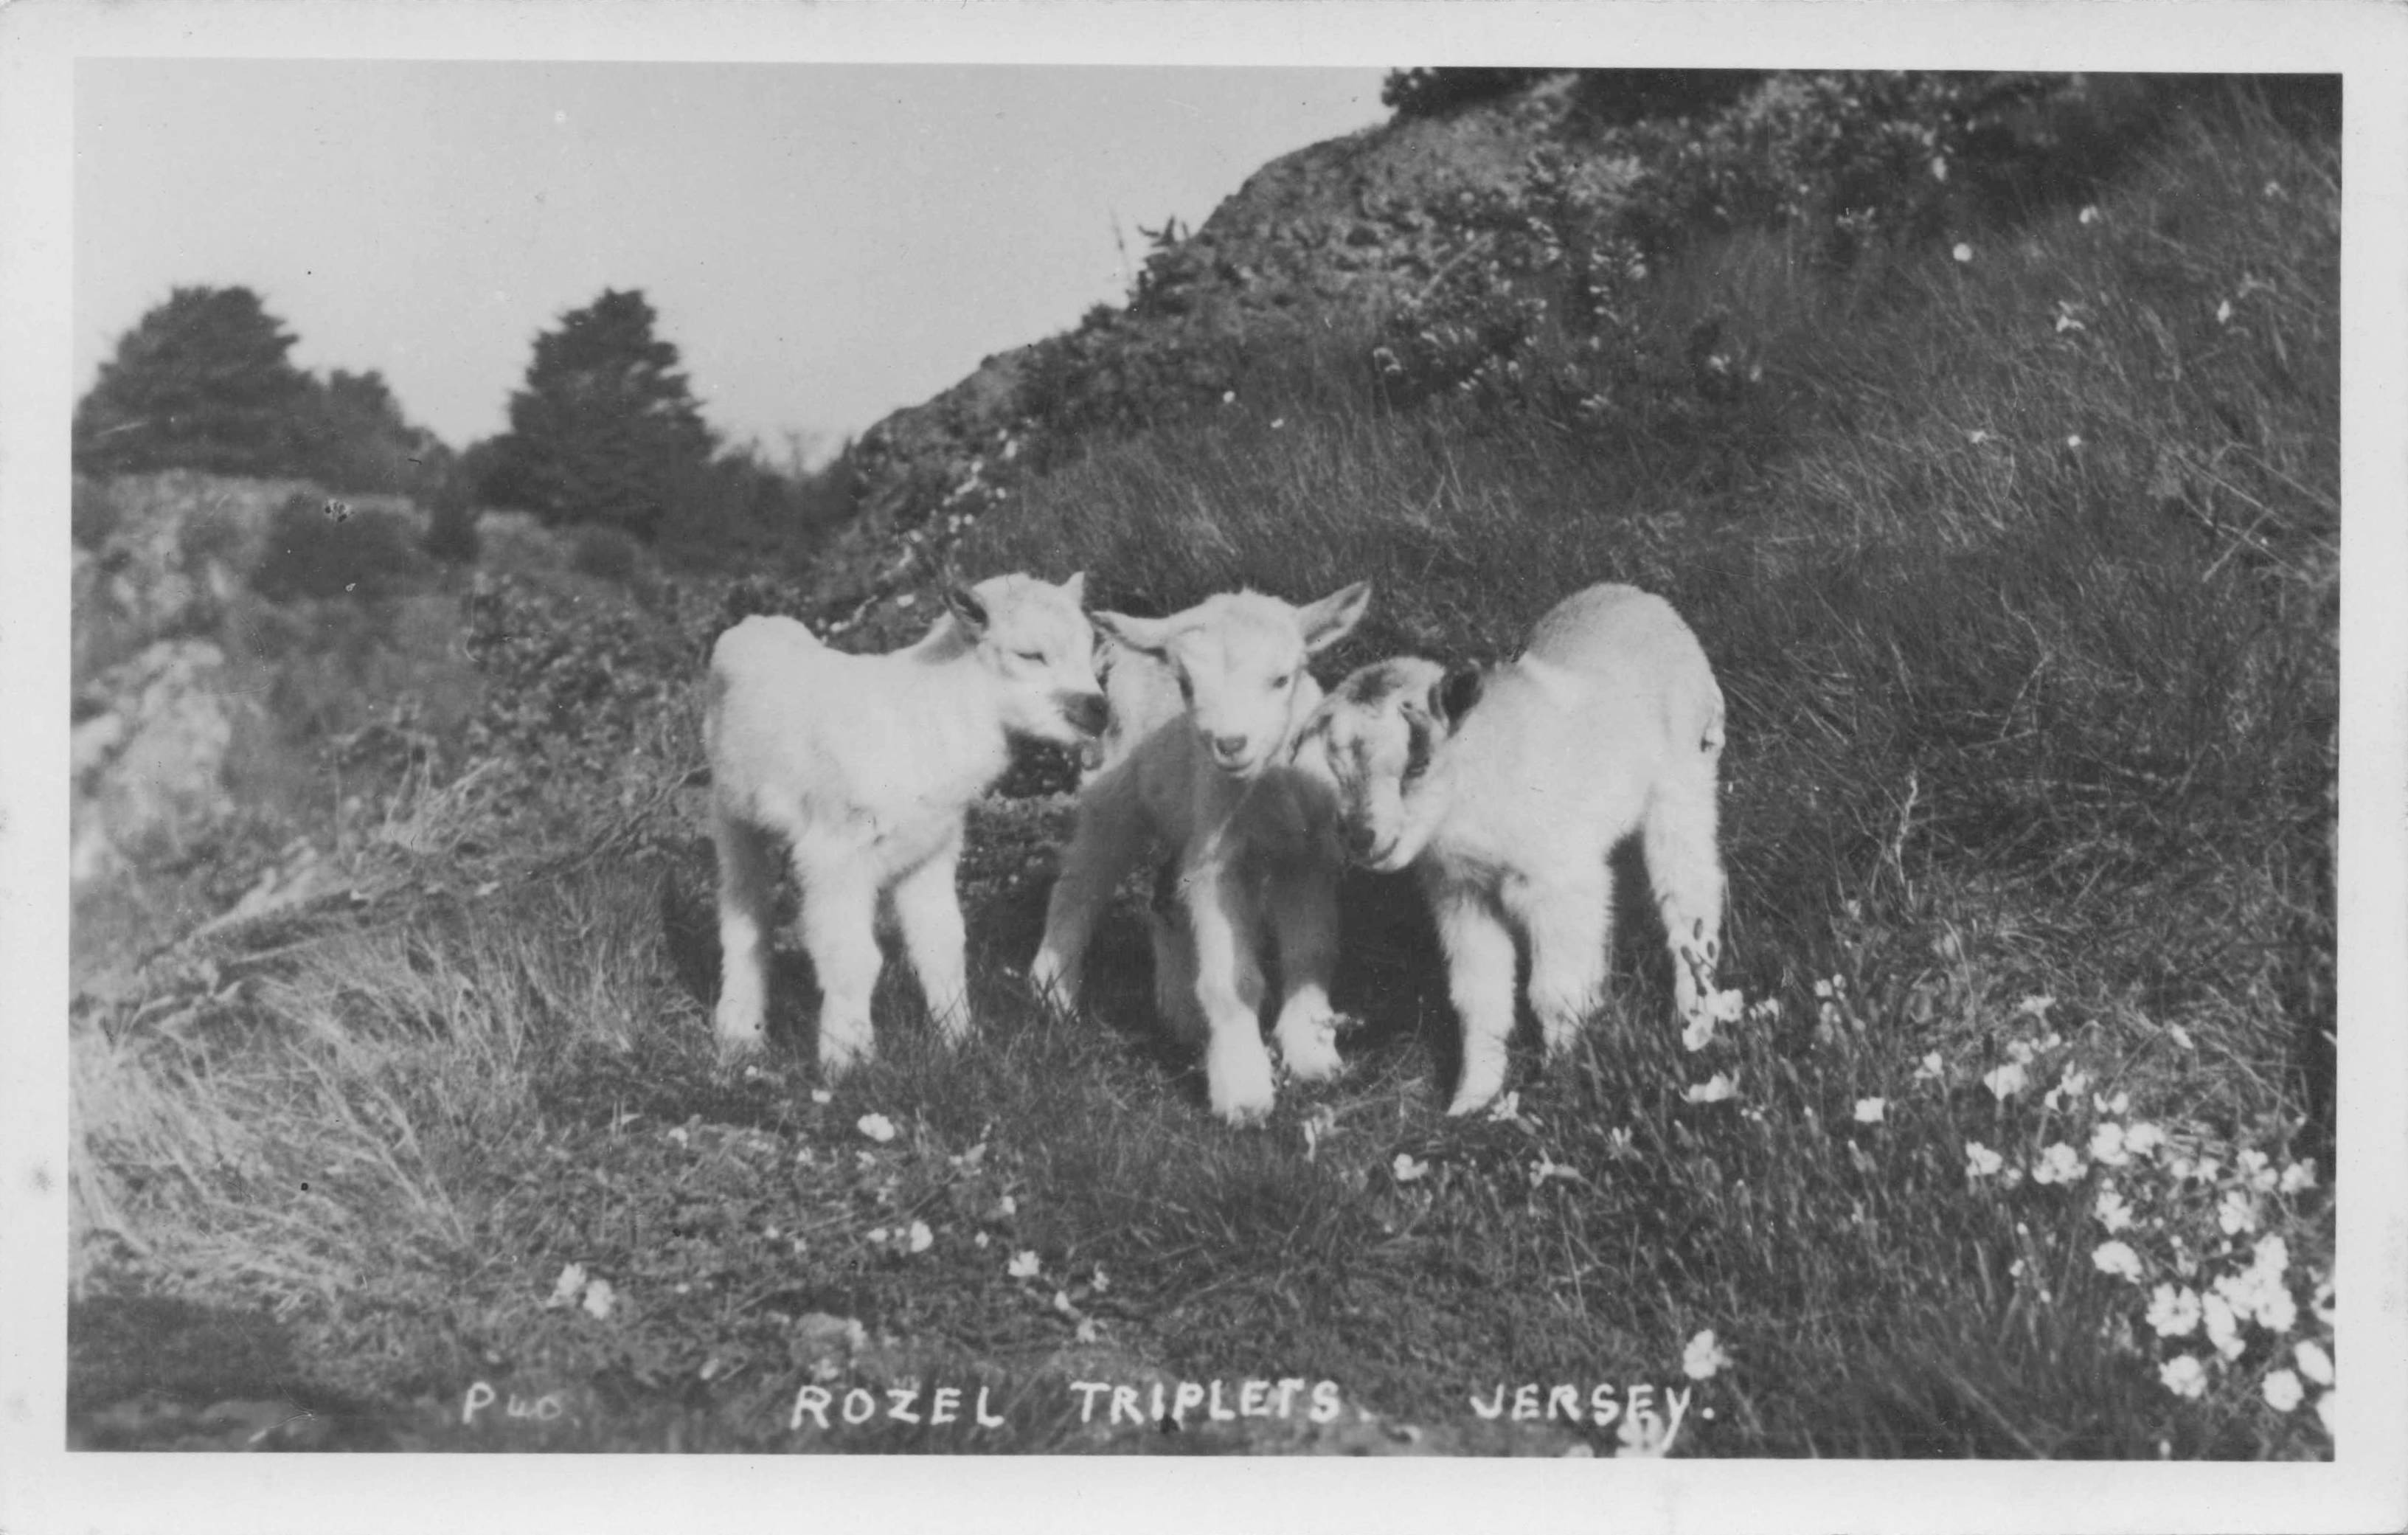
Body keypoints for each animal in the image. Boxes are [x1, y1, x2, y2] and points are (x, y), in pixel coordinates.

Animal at [705, 572, 1108, 1074]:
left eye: (1090, 647)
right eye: (1030, 655)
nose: (1098, 708)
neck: (923, 719)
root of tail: (754, 625)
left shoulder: (930, 850)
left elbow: (943, 943)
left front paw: (961, 1043)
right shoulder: (835, 855)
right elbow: (853, 957)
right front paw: (848, 1061)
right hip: (732, 815)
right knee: (744, 913)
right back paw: (740, 1034)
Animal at [1029, 582, 1372, 1124]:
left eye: (1281, 678)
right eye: (1187, 685)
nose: (1230, 744)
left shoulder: (1308, 855)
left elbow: (1312, 949)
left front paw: (1314, 1053)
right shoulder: (1218, 863)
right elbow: (1232, 978)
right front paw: (1243, 1089)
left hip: (1180, 825)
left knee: (1164, 896)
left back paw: (1182, 1018)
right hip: (1113, 797)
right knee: (1079, 884)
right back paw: (1053, 993)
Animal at [1292, 583, 1727, 1116]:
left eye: (1418, 764)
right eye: (1337, 768)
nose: (1361, 838)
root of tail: (1648, 600)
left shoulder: (1557, 882)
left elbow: (1554, 991)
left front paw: (1562, 1080)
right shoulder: (1463, 895)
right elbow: (1480, 996)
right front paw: (1473, 1099)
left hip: (1683, 784)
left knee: (1691, 896)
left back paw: (1695, 1019)